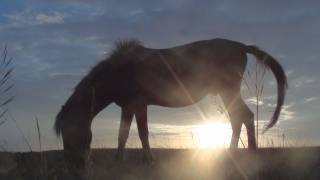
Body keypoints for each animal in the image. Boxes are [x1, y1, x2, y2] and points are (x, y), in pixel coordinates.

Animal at [54, 38, 288, 167]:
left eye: (69, 130)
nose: (74, 164)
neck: (120, 70)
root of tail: (241, 46)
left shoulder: (139, 105)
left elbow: (142, 133)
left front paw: (148, 161)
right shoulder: (128, 107)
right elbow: (122, 135)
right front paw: (119, 161)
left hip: (228, 91)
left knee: (244, 117)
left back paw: (249, 155)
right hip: (226, 93)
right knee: (238, 119)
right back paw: (233, 154)